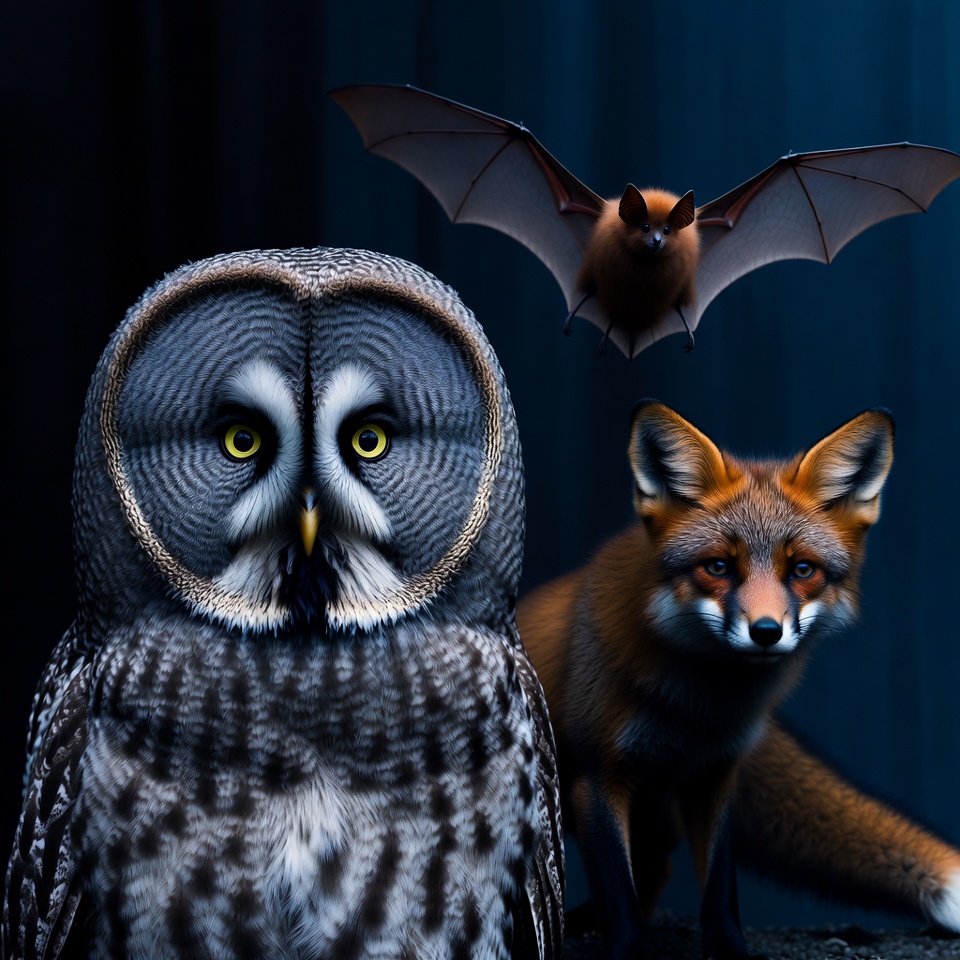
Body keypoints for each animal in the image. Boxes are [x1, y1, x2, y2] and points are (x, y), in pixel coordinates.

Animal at [518, 400, 960, 959]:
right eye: (719, 567)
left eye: (802, 570)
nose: (766, 632)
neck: (700, 706)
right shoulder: (598, 775)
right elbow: (619, 895)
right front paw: (625, 950)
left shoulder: (716, 773)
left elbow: (719, 889)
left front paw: (728, 950)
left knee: (658, 864)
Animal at [567, 187, 700, 351]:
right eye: (645, 227)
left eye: (667, 230)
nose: (657, 240)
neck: (648, 259)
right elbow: (589, 292)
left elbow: (679, 306)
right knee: (593, 294)